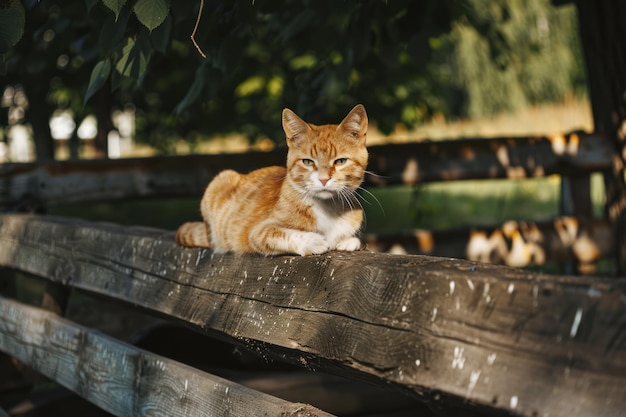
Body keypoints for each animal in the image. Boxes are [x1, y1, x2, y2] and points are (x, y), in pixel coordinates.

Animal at [173, 103, 368, 254]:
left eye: (340, 161)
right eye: (307, 161)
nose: (324, 179)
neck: (328, 209)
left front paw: (348, 241)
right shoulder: (258, 232)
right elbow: (282, 233)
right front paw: (314, 241)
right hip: (221, 179)